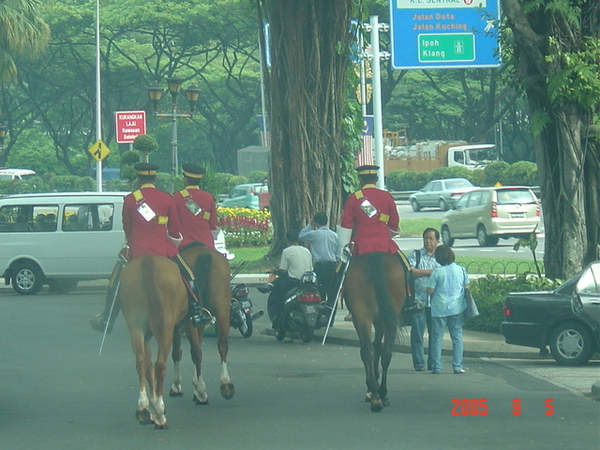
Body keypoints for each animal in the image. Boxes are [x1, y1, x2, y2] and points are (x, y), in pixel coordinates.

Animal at [119, 253, 189, 428]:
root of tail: (148, 262)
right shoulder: (178, 327)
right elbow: (177, 354)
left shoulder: (147, 335)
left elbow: (147, 366)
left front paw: (150, 404)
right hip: (165, 328)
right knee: (160, 364)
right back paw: (160, 413)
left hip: (135, 325)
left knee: (140, 362)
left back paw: (143, 407)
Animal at [170, 246, 236, 404]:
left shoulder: (175, 325)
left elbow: (176, 353)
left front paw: (177, 386)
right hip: (222, 310)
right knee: (222, 344)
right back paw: (225, 385)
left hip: (190, 321)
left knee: (195, 351)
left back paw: (201, 392)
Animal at [342, 251, 408, 414]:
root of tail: (374, 256)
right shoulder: (378, 320)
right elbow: (377, 348)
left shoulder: (372, 321)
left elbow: (374, 347)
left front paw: (371, 388)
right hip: (383, 316)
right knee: (385, 352)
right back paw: (380, 395)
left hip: (364, 316)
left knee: (368, 350)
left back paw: (376, 395)